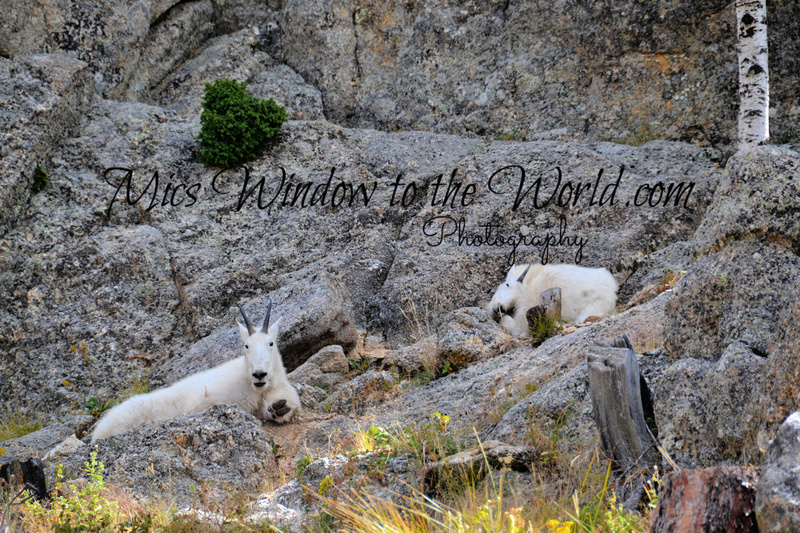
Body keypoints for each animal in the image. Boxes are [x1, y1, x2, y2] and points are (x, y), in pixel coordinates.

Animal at [91, 299, 301, 441]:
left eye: (271, 343)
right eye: (246, 346)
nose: (259, 374)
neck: (254, 388)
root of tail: (97, 431)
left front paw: (277, 409)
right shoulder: (207, 398)